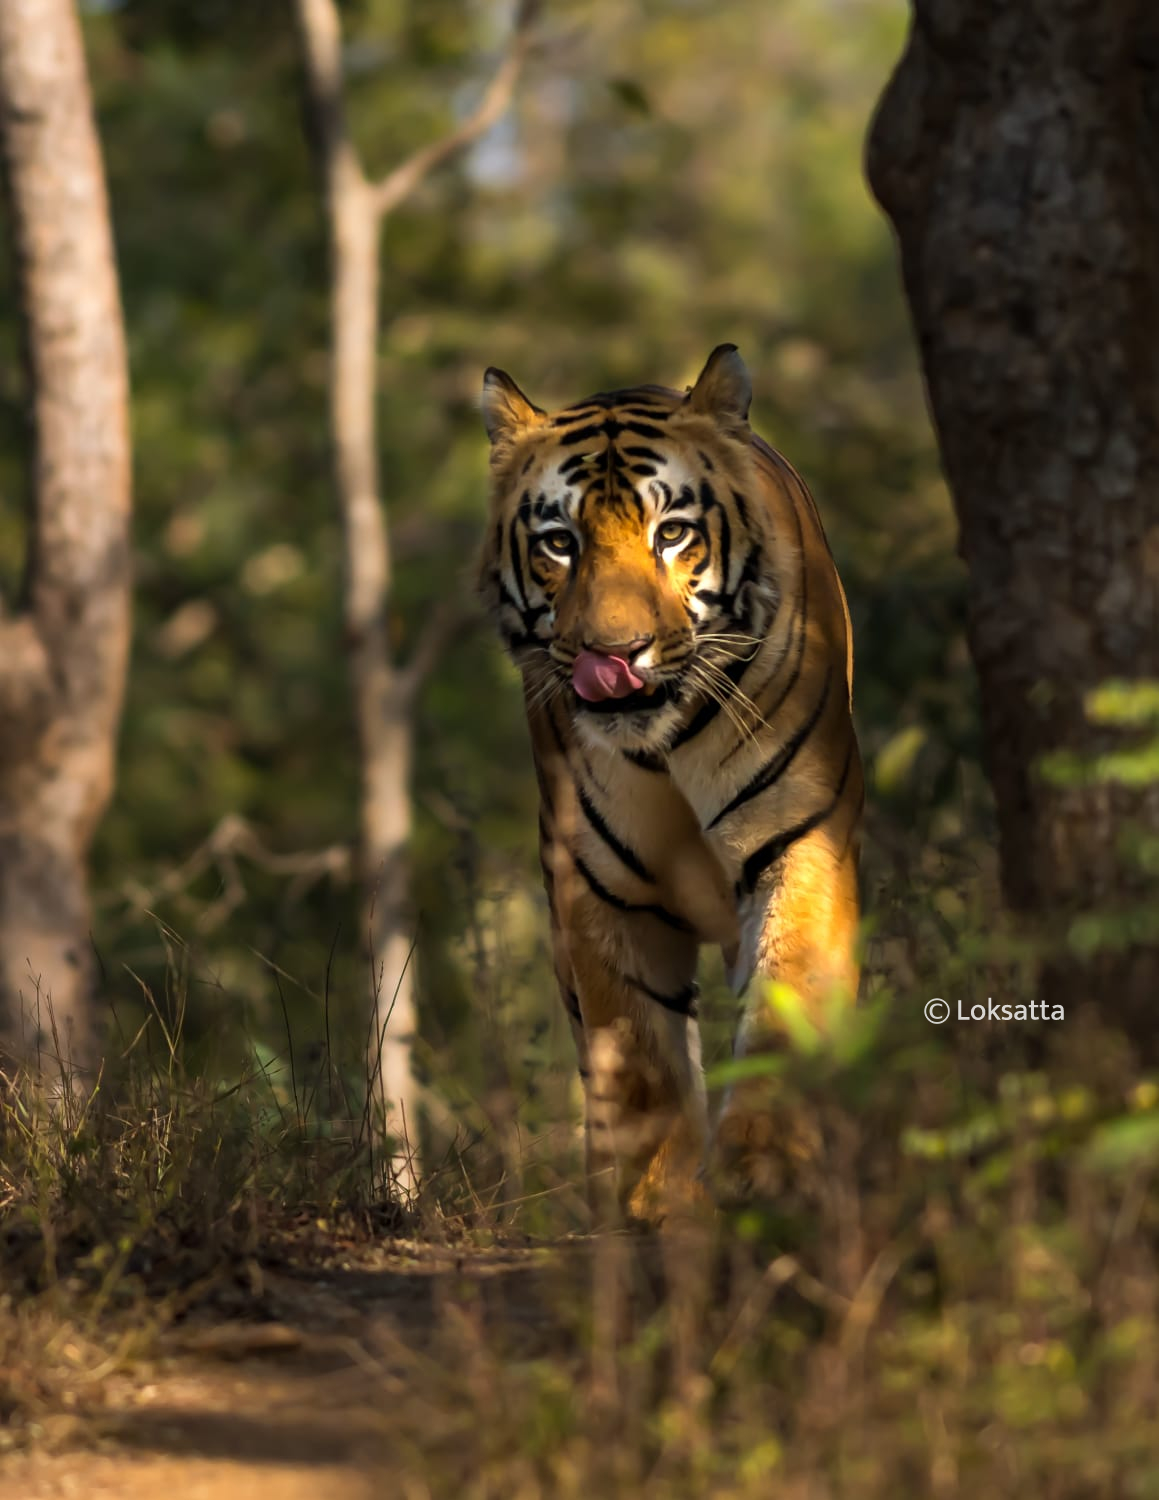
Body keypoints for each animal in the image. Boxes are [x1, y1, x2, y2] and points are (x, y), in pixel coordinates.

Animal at [473, 343, 863, 1218]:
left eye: (673, 533)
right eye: (559, 543)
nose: (612, 656)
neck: (665, 743)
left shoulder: (800, 839)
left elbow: (784, 1001)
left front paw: (765, 1170)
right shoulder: (601, 888)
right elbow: (637, 1056)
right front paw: (653, 1201)